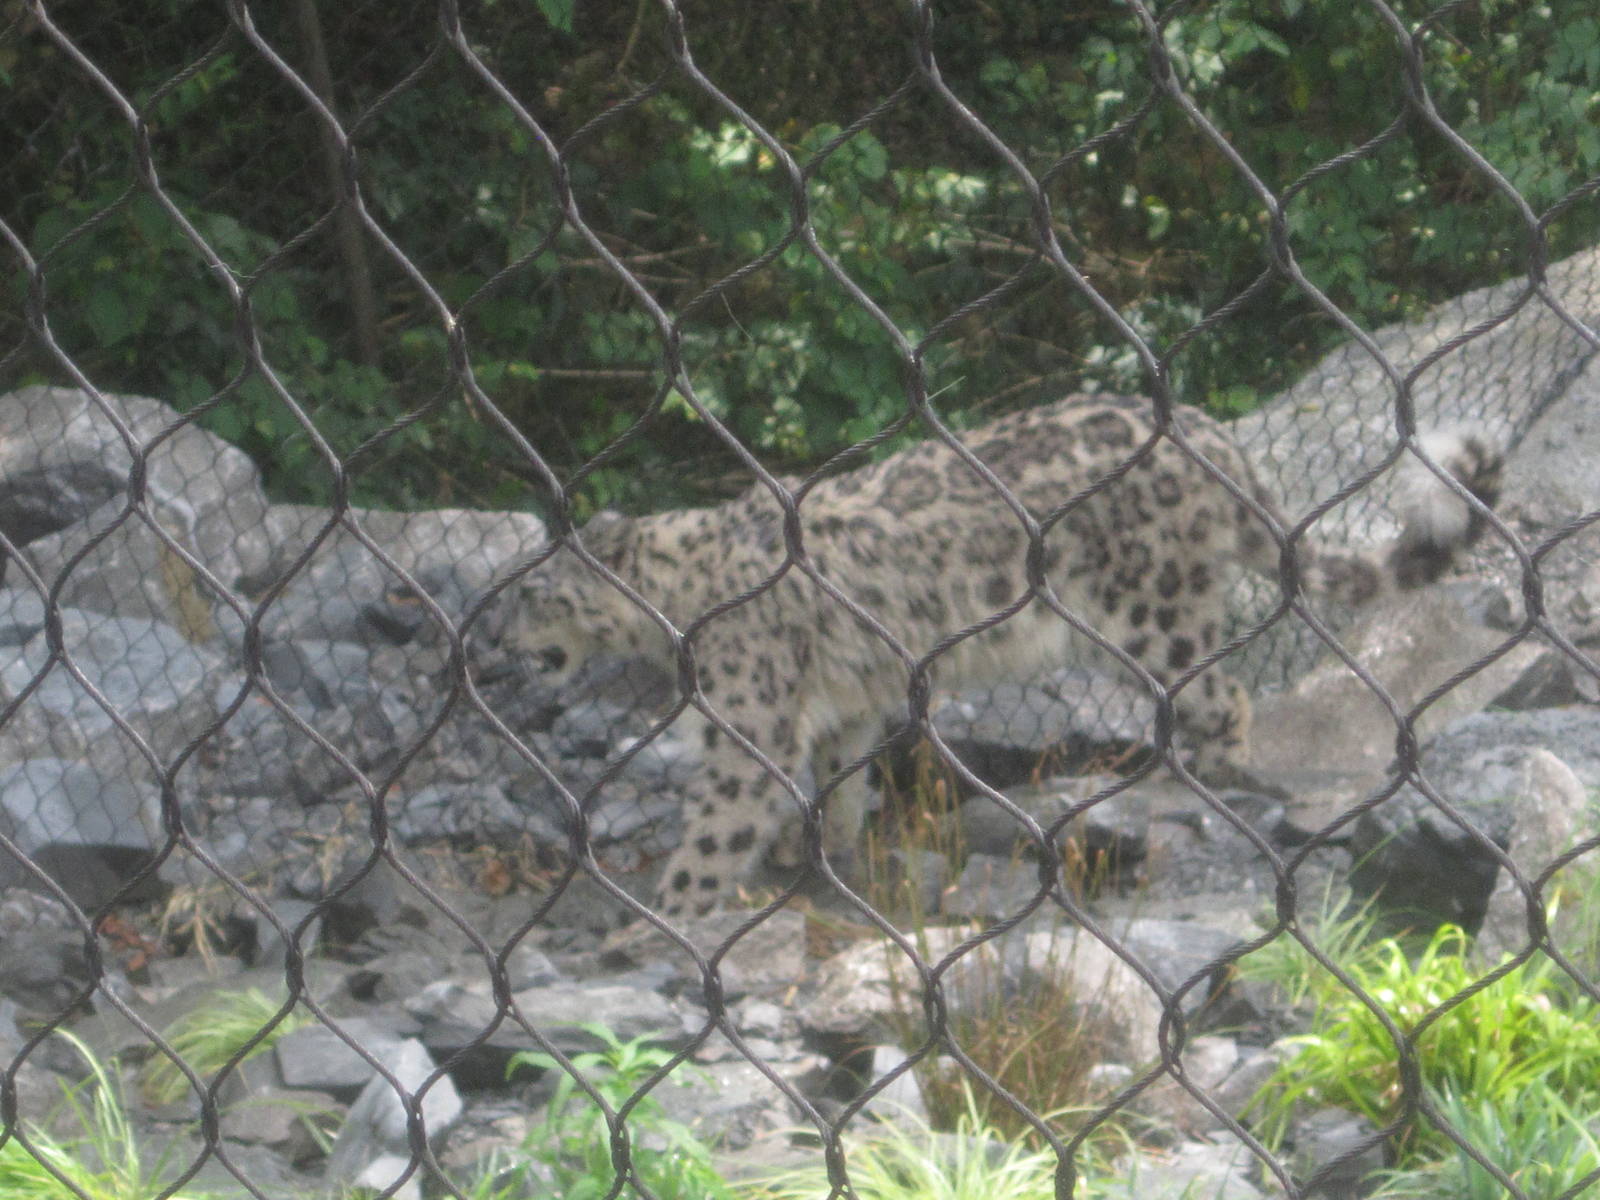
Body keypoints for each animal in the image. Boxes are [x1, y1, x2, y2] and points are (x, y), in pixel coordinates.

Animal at [500, 395, 1501, 918]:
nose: (499, 640)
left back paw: (1184, 771)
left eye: (535, 591)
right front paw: (811, 850)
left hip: (1150, 607)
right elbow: (833, 777)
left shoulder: (746, 720)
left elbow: (716, 825)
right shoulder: (842, 702)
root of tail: (1210, 433)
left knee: (1220, 696)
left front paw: (653, 922)